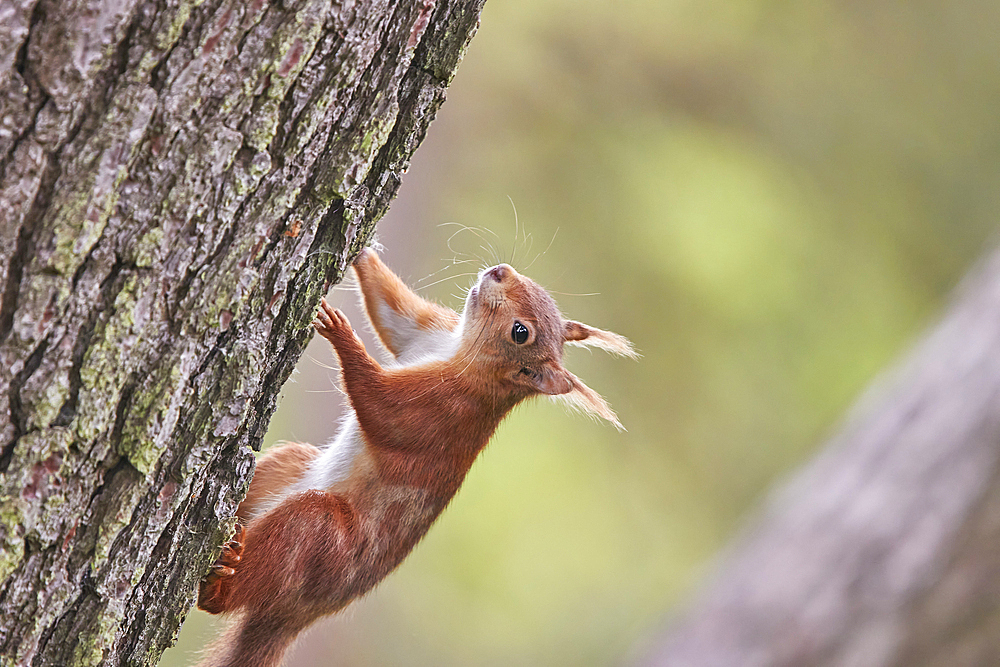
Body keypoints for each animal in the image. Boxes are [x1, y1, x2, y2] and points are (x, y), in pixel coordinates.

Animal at [195, 248, 632, 664]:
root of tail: (296, 617)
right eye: (541, 291)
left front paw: (341, 333)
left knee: (238, 589)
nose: (499, 271)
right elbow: (395, 315)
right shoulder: (429, 331)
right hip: (289, 466)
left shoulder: (438, 409)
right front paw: (363, 250)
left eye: (521, 332)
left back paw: (220, 584)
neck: (460, 352)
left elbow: (379, 405)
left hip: (322, 541)